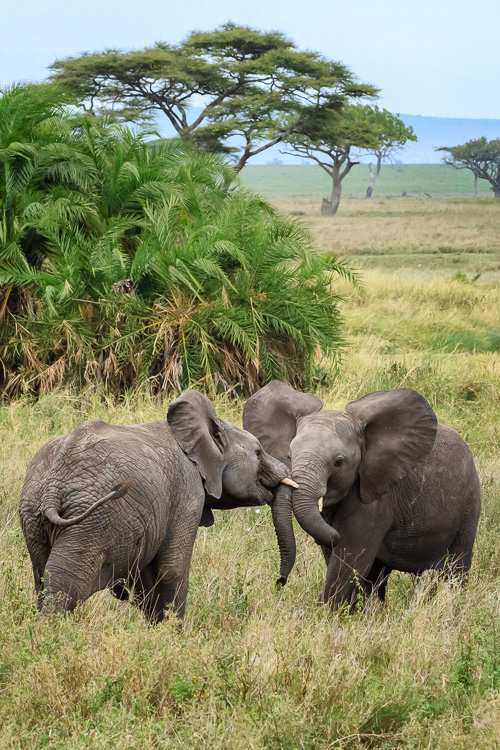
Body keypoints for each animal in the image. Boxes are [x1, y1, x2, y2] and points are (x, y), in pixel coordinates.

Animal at [19, 388, 294, 624]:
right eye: (258, 452)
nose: (279, 583)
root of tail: (53, 487)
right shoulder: (188, 492)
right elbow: (173, 568)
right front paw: (173, 636)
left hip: (33, 515)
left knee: (42, 576)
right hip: (90, 524)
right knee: (65, 586)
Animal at [244, 382, 482, 612]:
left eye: (338, 462)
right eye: (289, 456)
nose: (280, 581)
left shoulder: (375, 500)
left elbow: (350, 556)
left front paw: (324, 617)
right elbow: (339, 558)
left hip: (469, 505)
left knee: (456, 568)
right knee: (378, 575)